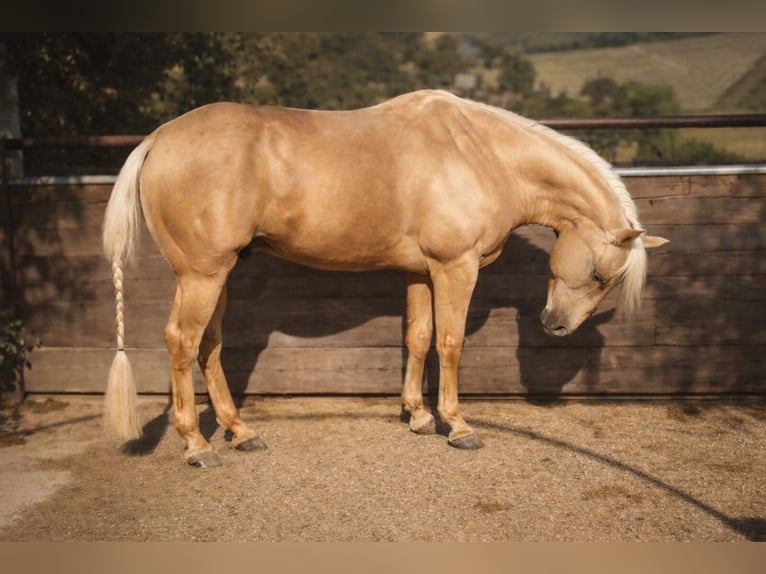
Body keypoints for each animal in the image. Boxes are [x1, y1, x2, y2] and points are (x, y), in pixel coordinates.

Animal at [102, 89, 667, 467]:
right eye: (599, 273)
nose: (556, 326)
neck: (481, 154)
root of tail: (158, 139)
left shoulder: (421, 272)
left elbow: (417, 338)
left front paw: (417, 415)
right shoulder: (455, 268)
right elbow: (450, 343)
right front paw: (457, 425)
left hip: (219, 274)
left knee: (210, 345)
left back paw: (240, 433)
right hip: (202, 274)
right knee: (182, 342)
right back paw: (197, 445)